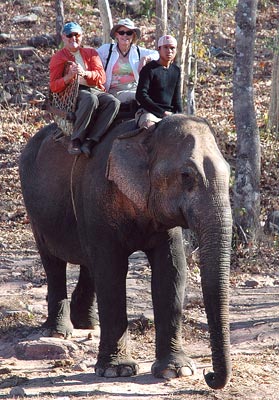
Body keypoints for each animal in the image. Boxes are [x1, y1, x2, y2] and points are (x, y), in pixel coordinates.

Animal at [19, 114, 233, 390]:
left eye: (229, 171)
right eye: (186, 175)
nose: (209, 375)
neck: (145, 135)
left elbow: (172, 270)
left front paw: (176, 371)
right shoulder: (97, 195)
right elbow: (112, 270)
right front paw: (116, 371)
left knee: (89, 263)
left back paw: (87, 322)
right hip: (35, 210)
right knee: (53, 262)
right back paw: (57, 332)